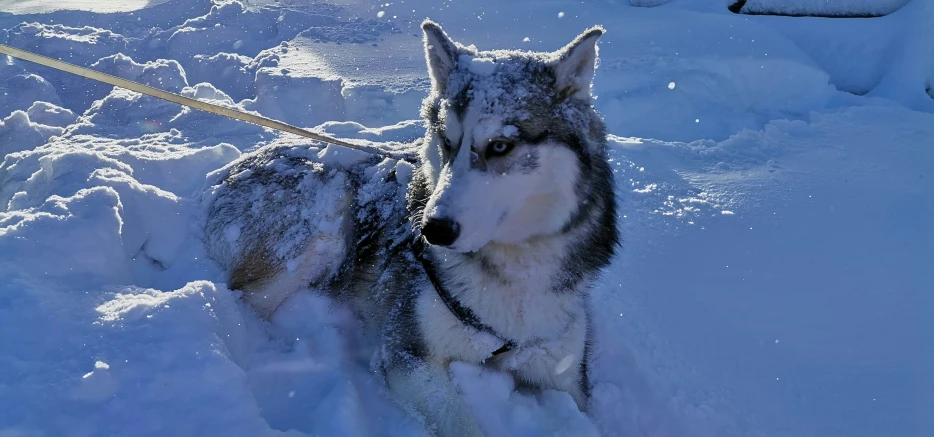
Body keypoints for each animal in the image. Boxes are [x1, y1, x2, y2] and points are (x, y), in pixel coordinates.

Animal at [201, 20, 616, 436]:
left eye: (501, 145)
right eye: (447, 141)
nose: (433, 230)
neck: (511, 273)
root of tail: (232, 169)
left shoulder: (565, 374)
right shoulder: (406, 354)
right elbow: (461, 423)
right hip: (326, 227)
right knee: (244, 298)